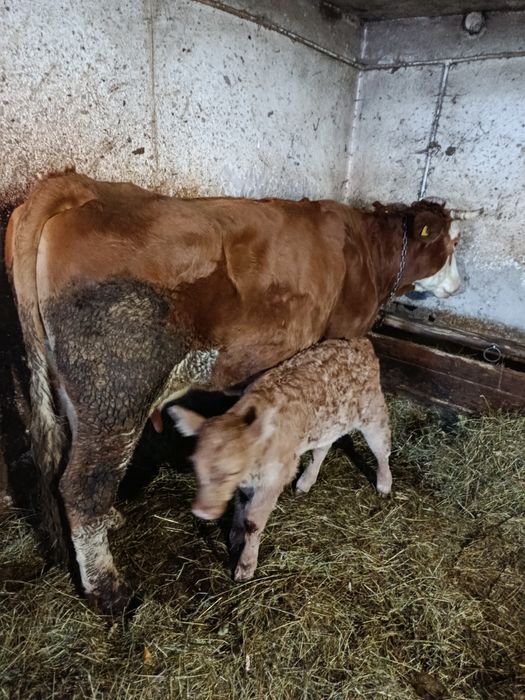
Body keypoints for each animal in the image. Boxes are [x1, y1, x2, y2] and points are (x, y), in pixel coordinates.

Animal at [169, 338, 391, 581]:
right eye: (196, 466)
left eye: (231, 472)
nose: (202, 511)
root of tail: (360, 341)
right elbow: (240, 505)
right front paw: (235, 536)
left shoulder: (274, 478)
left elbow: (253, 522)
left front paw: (246, 565)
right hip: (327, 425)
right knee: (322, 449)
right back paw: (305, 482)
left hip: (373, 414)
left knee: (382, 449)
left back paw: (384, 484)